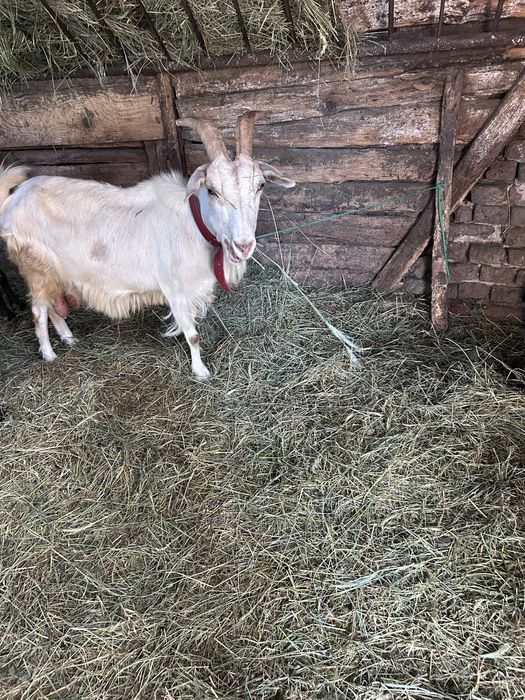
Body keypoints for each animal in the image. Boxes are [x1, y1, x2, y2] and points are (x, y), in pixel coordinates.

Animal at [0, 112, 295, 379]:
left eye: (261, 185)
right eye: (211, 190)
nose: (243, 245)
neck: (191, 224)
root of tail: (13, 199)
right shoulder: (175, 289)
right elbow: (192, 335)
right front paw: (201, 372)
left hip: (53, 270)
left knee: (51, 306)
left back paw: (69, 338)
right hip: (34, 267)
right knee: (38, 311)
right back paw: (49, 354)